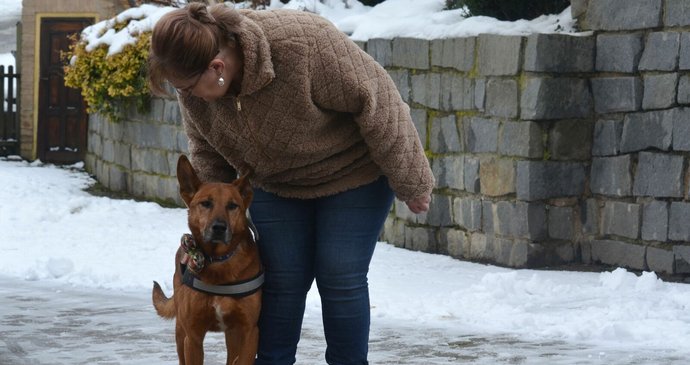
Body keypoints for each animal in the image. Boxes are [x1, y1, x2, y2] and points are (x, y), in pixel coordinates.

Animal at [153, 154, 260, 364]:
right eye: (206, 203)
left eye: (232, 205)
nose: (219, 227)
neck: (219, 259)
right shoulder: (193, 336)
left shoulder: (248, 332)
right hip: (180, 332)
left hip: (232, 336)